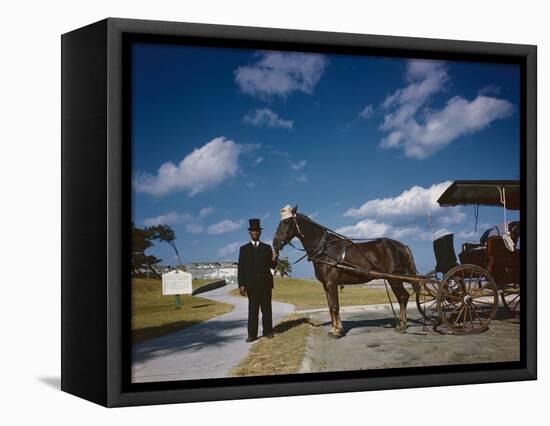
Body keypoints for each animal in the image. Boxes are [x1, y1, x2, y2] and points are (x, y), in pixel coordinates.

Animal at [274, 206, 420, 340]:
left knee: (403, 297)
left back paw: (402, 326)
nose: (275, 243)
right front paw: (334, 328)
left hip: (394, 279)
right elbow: (330, 307)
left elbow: (335, 307)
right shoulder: (326, 285)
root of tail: (402, 246)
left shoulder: (332, 283)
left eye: (286, 222)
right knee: (403, 297)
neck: (325, 249)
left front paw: (337, 332)